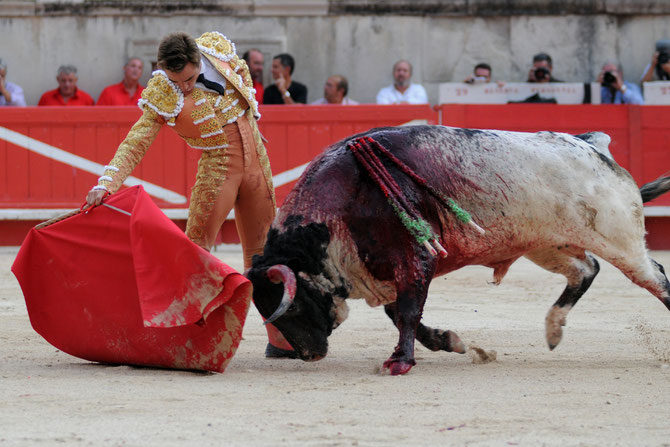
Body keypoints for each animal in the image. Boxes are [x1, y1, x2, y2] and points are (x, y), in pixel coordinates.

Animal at [247, 125, 670, 374]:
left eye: (292, 307)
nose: (308, 355)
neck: (341, 203)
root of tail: (591, 144)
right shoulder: (385, 271)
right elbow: (402, 314)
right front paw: (449, 341)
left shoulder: (417, 258)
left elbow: (407, 312)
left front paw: (400, 363)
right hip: (546, 244)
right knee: (586, 269)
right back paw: (553, 328)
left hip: (619, 238)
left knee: (655, 276)